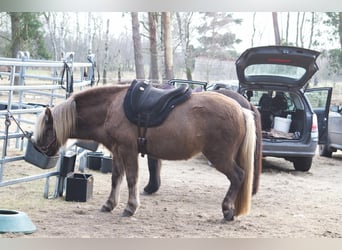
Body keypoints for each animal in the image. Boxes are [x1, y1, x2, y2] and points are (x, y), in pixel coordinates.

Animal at [34, 82, 256, 221]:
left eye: (47, 127)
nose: (38, 148)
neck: (111, 106)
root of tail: (240, 109)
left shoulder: (128, 150)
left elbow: (132, 179)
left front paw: (130, 208)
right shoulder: (117, 151)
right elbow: (116, 178)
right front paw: (109, 204)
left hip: (220, 157)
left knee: (238, 176)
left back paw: (227, 210)